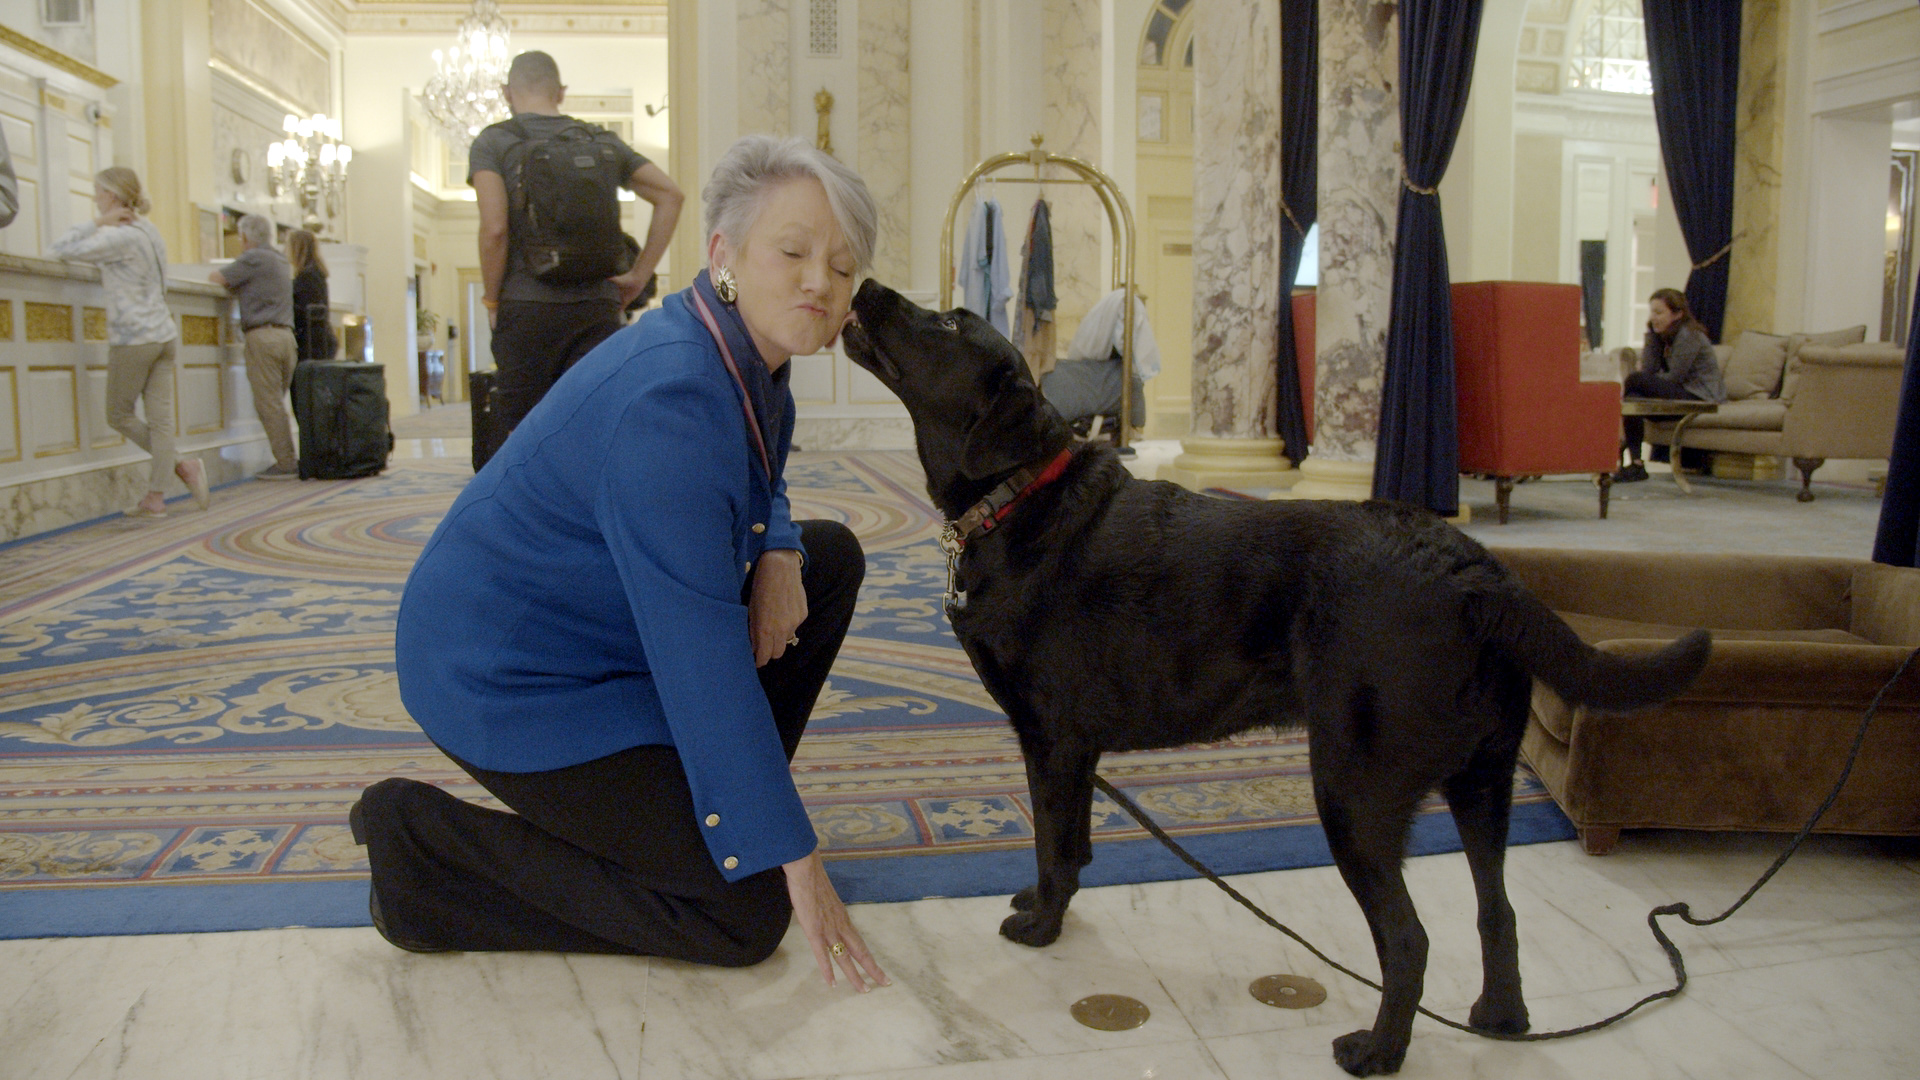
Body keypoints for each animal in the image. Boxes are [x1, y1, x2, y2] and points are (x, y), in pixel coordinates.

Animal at [840, 280, 1710, 1077]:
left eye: (948, 322)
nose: (869, 284)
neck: (1016, 496)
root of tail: (1475, 571)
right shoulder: (1077, 751)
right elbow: (1076, 844)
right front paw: (1046, 906)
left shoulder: (1050, 740)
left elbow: (1053, 844)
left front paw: (1040, 929)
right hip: (1484, 781)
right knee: (1497, 912)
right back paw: (1501, 1020)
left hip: (1354, 792)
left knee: (1409, 938)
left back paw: (1377, 1052)